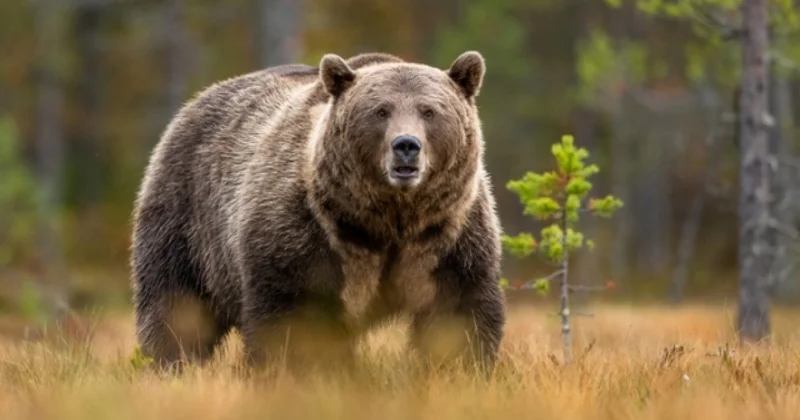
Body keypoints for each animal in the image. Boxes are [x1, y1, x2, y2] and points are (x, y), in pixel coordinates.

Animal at [130, 50, 506, 376]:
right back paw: (170, 364)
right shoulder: (307, 232)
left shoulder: (446, 237)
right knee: (176, 305)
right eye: (381, 111)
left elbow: (457, 314)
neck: (387, 220)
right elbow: (294, 318)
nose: (406, 146)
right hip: (187, 216)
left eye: (429, 111)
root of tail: (194, 102)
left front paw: (460, 370)